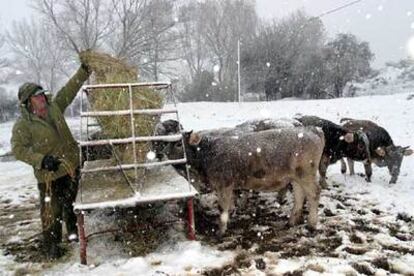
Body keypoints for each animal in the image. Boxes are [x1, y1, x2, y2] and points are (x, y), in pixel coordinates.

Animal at [163, 127, 326, 235]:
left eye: (178, 144)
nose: (162, 155)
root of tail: (313, 130)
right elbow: (229, 204)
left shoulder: (223, 184)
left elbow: (222, 208)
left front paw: (220, 230)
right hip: (296, 178)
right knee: (299, 196)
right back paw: (292, 221)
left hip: (306, 175)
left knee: (314, 194)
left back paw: (311, 224)